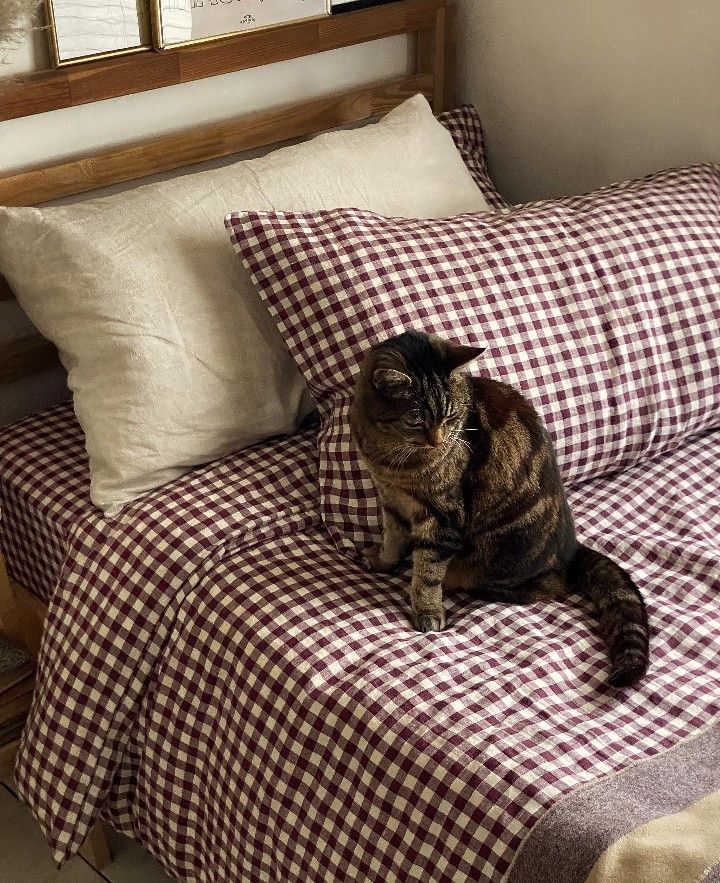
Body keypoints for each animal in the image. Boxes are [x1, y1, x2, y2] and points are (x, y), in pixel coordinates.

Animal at [350, 332, 652, 692]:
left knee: (545, 587)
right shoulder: (391, 500)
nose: (438, 440)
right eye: (416, 418)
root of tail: (573, 551)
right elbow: (393, 539)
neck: (388, 456)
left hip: (504, 549)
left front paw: (426, 610)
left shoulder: (442, 518)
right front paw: (384, 561)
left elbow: (427, 573)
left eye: (450, 416)